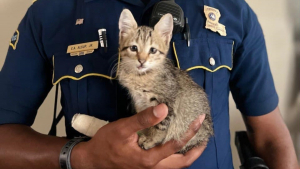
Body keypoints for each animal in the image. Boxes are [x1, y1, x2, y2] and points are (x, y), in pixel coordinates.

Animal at [117, 9, 213, 154]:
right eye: (133, 48)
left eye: (153, 50)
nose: (141, 61)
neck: (141, 76)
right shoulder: (140, 103)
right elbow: (148, 125)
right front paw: (145, 135)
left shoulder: (168, 103)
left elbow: (160, 126)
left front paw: (151, 140)